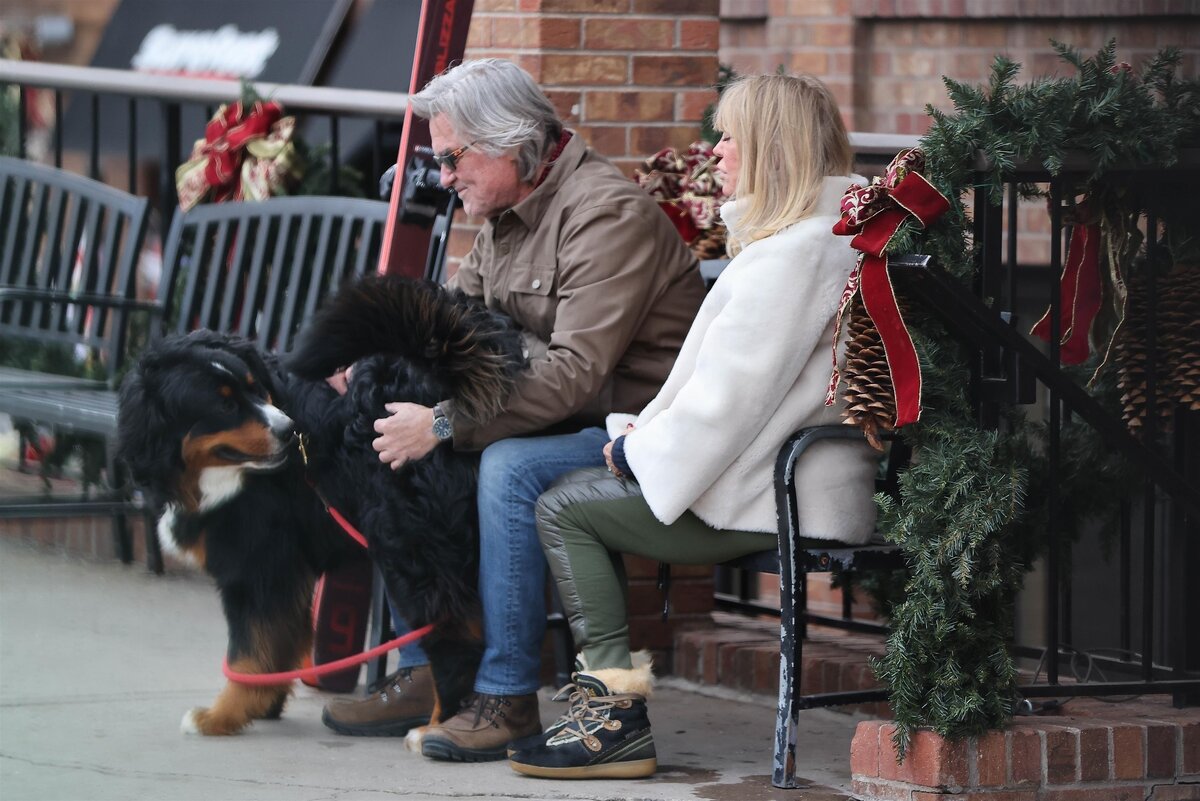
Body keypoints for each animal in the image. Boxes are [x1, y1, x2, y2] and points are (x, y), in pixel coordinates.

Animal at [114, 273, 523, 733]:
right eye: (224, 403)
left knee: (458, 632)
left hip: (410, 546)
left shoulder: (256, 562)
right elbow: (278, 643)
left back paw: (436, 729)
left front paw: (221, 716)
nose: (289, 430)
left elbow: (247, 651)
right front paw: (263, 704)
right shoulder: (284, 568)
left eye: (254, 390)